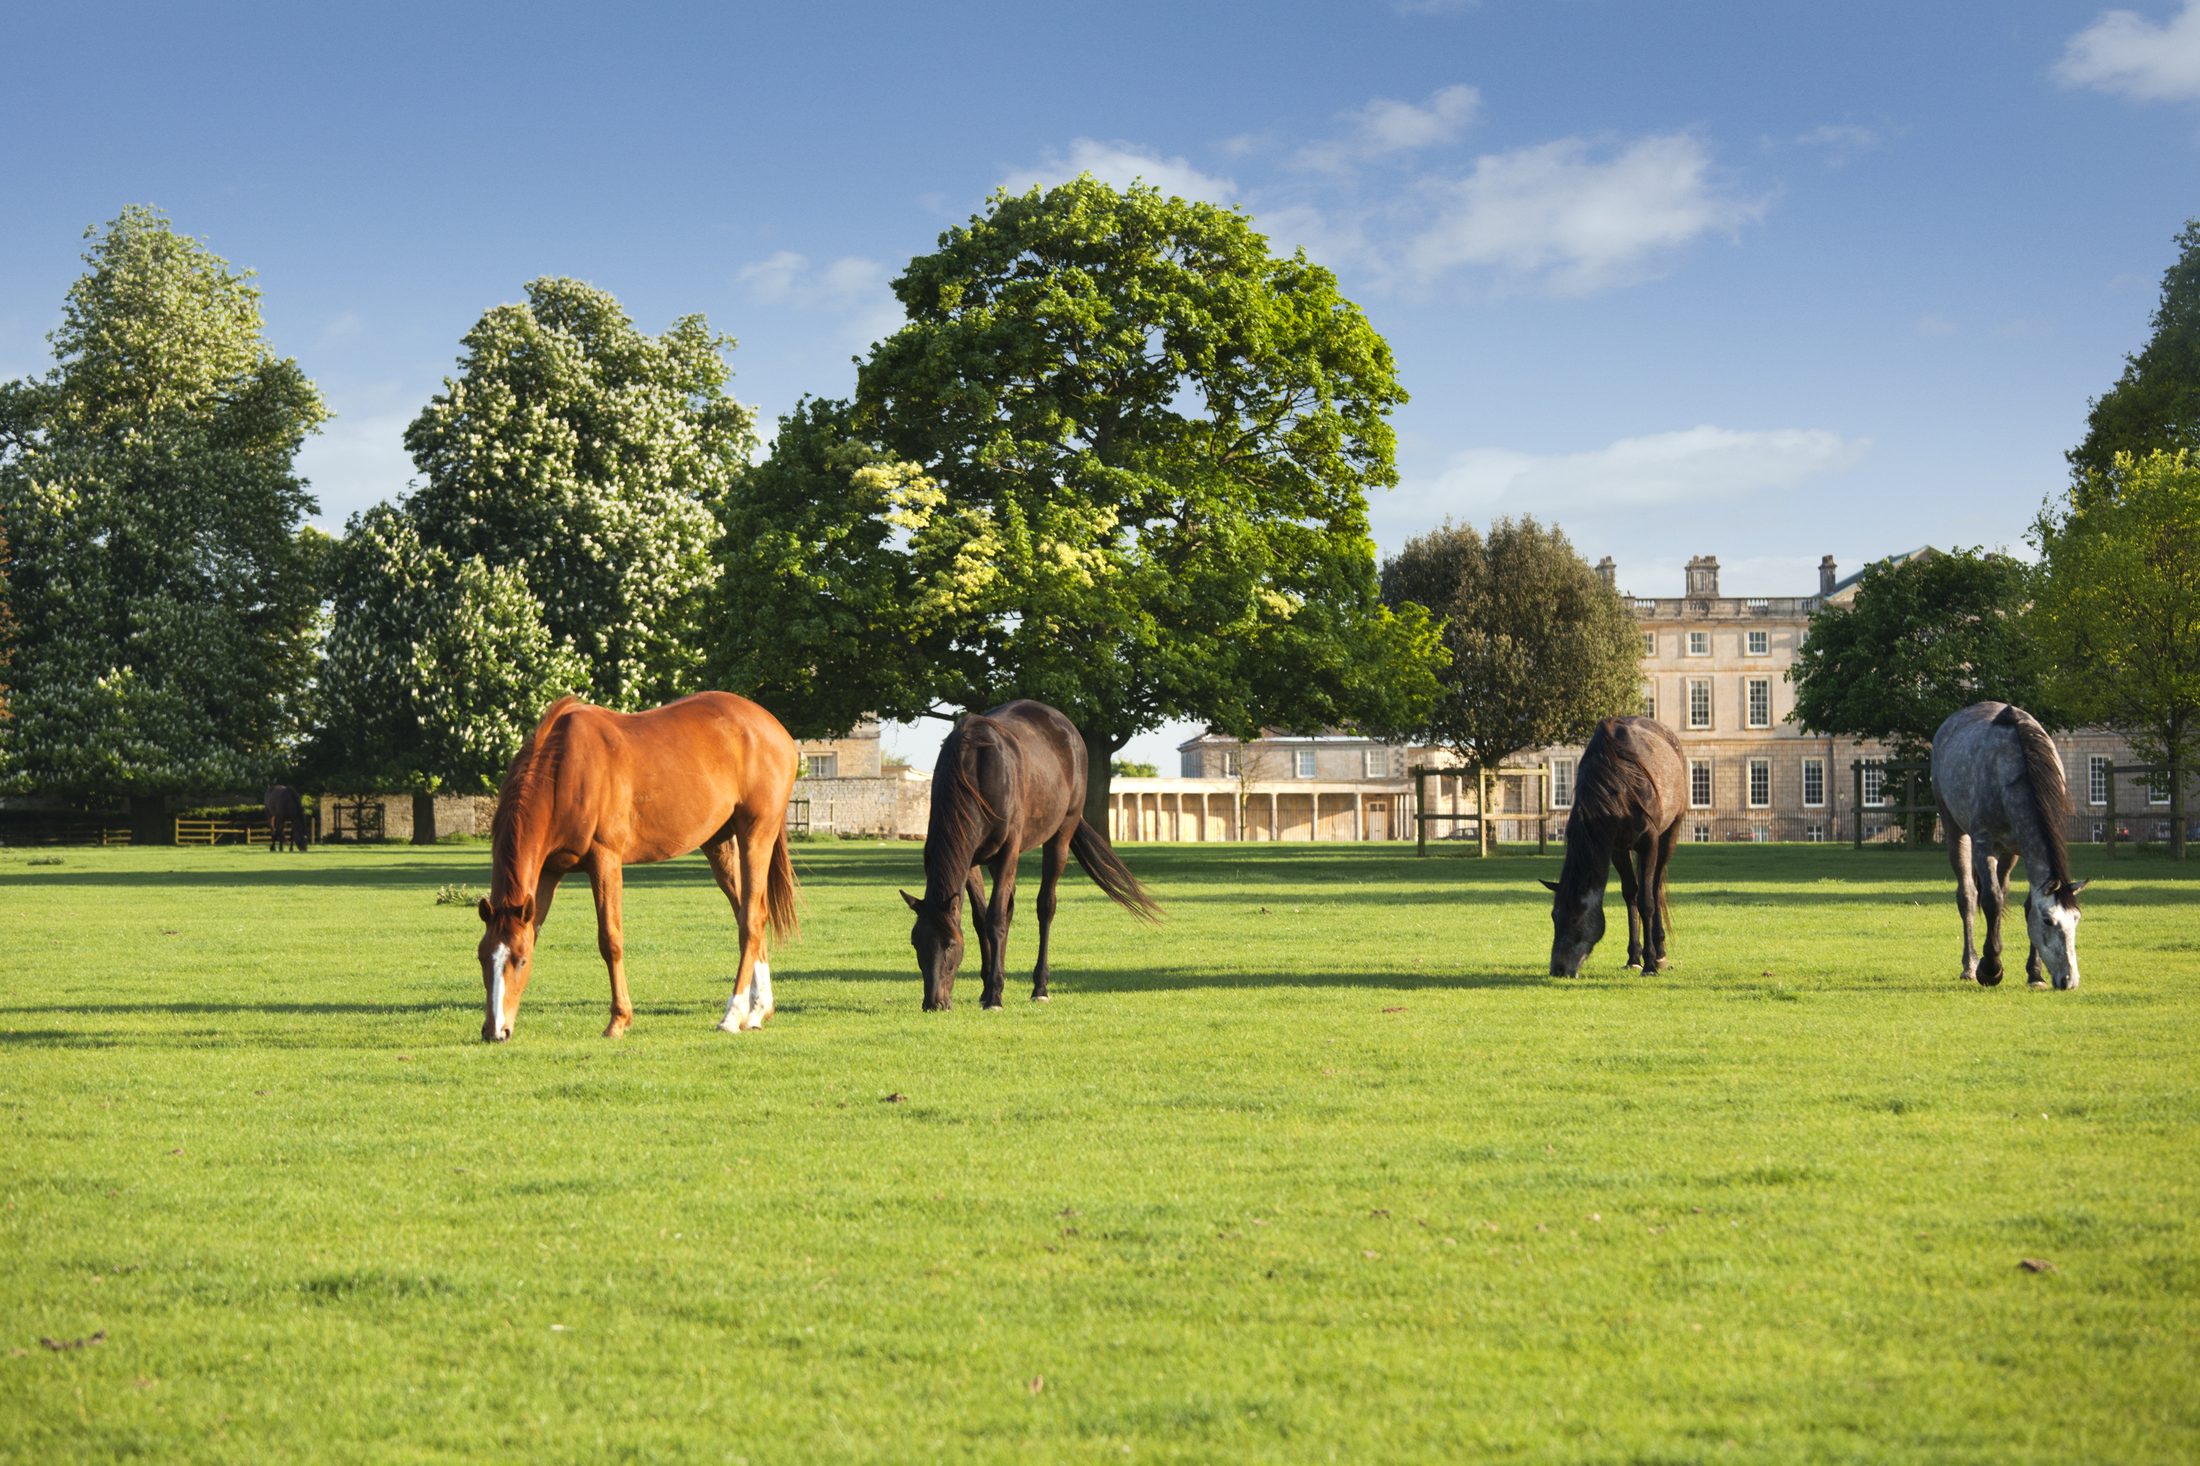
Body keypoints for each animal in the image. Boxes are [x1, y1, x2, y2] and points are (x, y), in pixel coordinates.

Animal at [476, 692, 799, 1042]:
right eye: (481, 958)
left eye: (520, 961)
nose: (495, 1030)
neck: (564, 769)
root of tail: (774, 728)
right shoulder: (549, 872)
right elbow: (535, 928)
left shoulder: (605, 860)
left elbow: (610, 940)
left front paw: (619, 1019)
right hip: (720, 843)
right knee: (752, 914)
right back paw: (757, 1011)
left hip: (756, 834)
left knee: (750, 920)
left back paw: (733, 1014)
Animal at [900, 700, 1159, 1010]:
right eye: (916, 942)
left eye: (950, 944)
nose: (934, 1003)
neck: (974, 771)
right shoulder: (971, 861)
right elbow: (981, 918)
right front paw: (988, 987)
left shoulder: (1007, 853)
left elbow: (995, 919)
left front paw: (994, 996)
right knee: (1009, 909)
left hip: (1061, 834)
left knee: (1045, 905)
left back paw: (1040, 987)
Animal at [1541, 716, 1687, 977]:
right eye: (1554, 916)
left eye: (1577, 916)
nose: (1558, 969)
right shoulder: (1616, 847)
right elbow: (1630, 894)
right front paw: (1634, 957)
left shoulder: (1649, 841)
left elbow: (1646, 901)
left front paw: (1649, 964)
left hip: (1670, 832)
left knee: (1656, 886)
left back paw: (1660, 953)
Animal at [1931, 701, 2087, 989]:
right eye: (2048, 920)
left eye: (2076, 919)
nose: (2069, 980)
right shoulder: (1984, 845)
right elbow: (1990, 900)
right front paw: (1990, 969)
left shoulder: (2021, 848)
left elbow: (2023, 903)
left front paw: (2035, 974)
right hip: (1955, 830)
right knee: (1968, 895)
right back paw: (1970, 965)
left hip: (2008, 852)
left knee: (2001, 889)